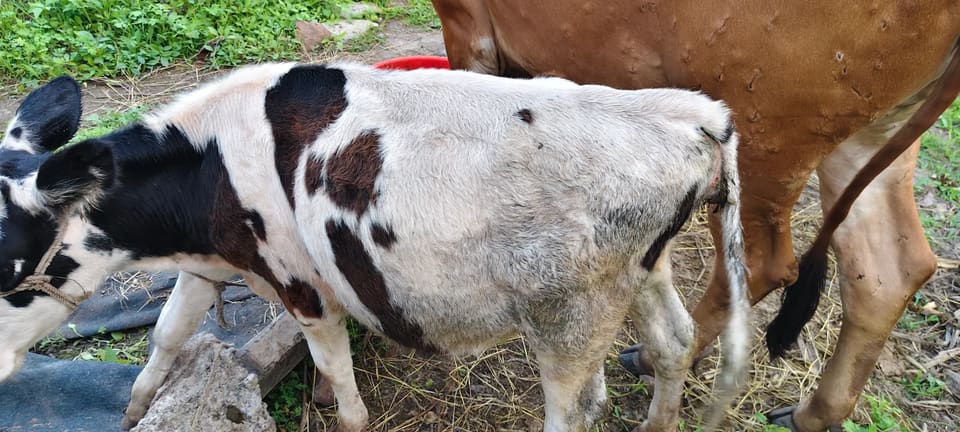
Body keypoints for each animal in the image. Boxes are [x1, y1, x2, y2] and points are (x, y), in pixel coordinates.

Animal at [0, 63, 749, 431]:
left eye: (6, 270)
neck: (211, 162)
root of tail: (690, 113)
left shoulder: (304, 290)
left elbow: (342, 384)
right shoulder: (212, 263)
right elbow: (166, 331)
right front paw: (133, 408)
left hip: (569, 319)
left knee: (574, 410)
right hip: (645, 272)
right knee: (674, 343)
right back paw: (657, 423)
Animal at [427, 0, 960, 430]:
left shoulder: (466, 25)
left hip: (765, 136)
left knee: (761, 266)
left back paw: (652, 357)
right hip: (870, 141)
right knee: (888, 272)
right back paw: (813, 413)